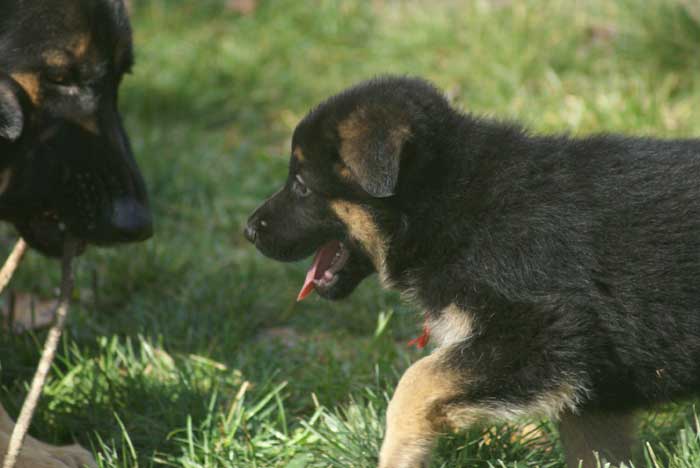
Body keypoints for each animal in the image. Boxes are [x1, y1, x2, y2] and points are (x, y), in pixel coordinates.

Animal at [247, 75, 700, 466]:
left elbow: (416, 379)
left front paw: (399, 453)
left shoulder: (547, 334)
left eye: (301, 185)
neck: (450, 202)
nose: (248, 230)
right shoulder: (597, 391)